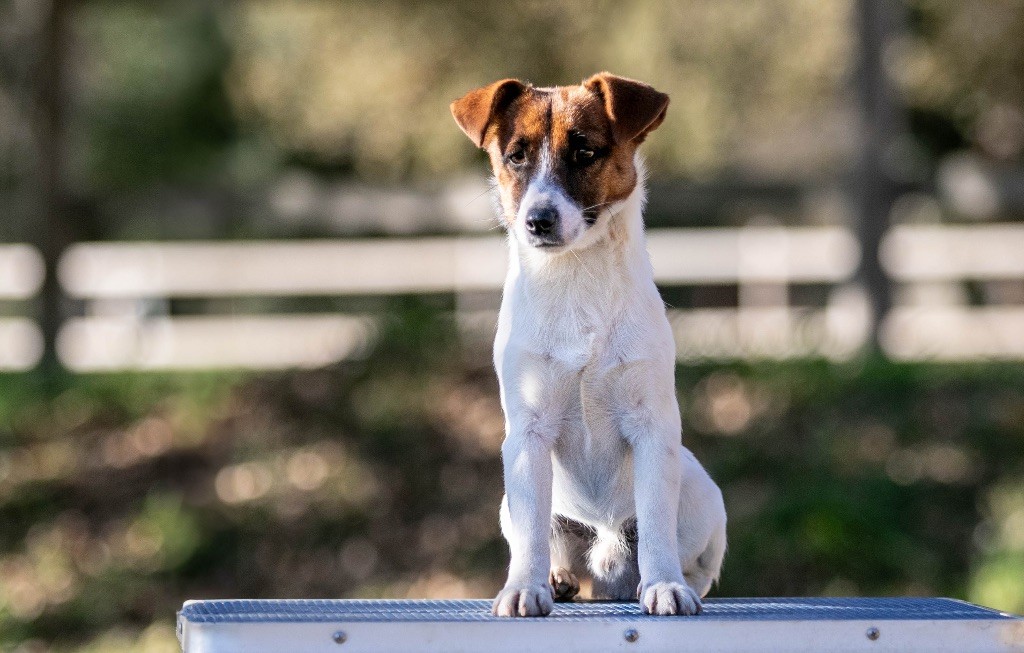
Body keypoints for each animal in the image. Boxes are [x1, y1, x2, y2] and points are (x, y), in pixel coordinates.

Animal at [450, 72, 729, 618]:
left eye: (584, 152)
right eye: (515, 156)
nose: (538, 220)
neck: (575, 277)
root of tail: (604, 551)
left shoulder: (651, 424)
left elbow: (658, 524)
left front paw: (665, 585)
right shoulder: (528, 433)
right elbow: (531, 533)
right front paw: (525, 587)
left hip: (701, 492)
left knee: (694, 558)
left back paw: (667, 578)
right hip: (512, 502)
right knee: (541, 537)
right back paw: (557, 578)